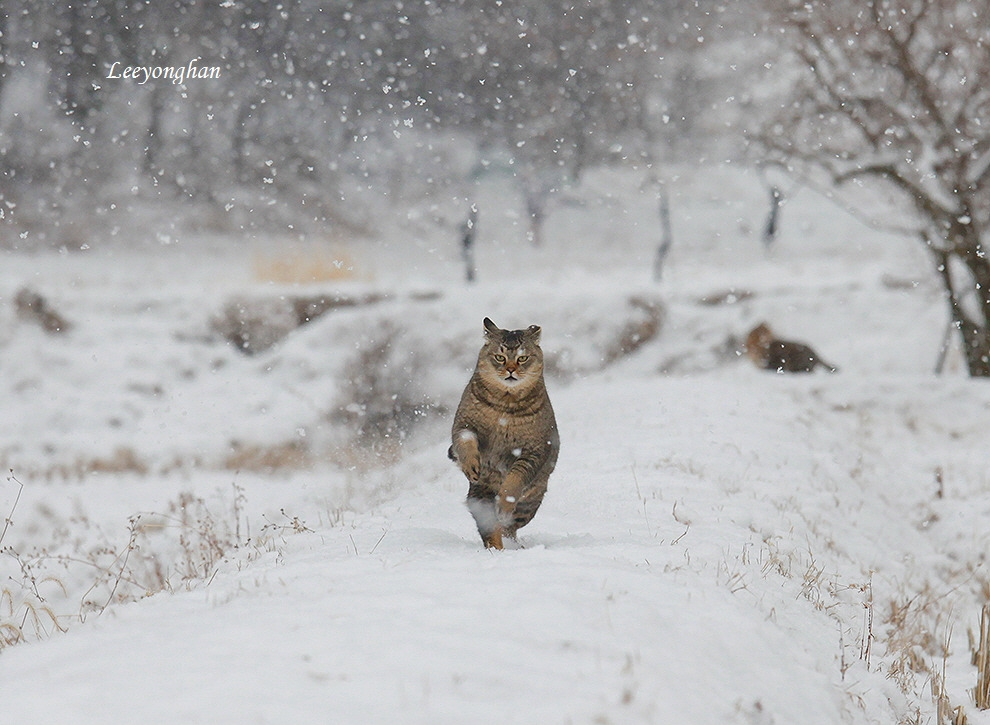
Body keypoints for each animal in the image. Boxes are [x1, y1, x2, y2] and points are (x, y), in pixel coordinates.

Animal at [448, 316, 560, 548]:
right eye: (499, 357)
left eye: (522, 358)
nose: (510, 369)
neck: (504, 406)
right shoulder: (464, 424)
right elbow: (465, 442)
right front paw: (471, 465)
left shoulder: (534, 449)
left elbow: (515, 479)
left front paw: (505, 502)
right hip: (480, 497)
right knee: (490, 527)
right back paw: (497, 548)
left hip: (529, 503)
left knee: (510, 526)